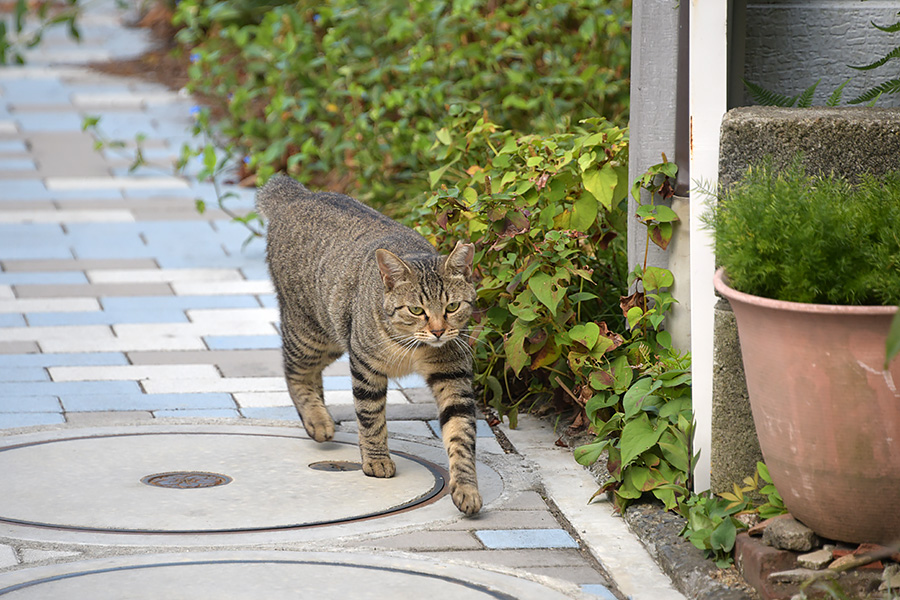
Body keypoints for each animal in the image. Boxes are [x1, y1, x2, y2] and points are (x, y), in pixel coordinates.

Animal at [256, 175, 482, 516]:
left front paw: (466, 488)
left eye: (452, 307)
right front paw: (376, 459)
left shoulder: (452, 374)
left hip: (334, 338)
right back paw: (317, 420)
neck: (413, 348)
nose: (439, 331)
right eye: (416, 310)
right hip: (312, 333)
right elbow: (370, 415)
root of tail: (298, 194)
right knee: (294, 371)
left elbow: (460, 434)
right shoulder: (365, 365)